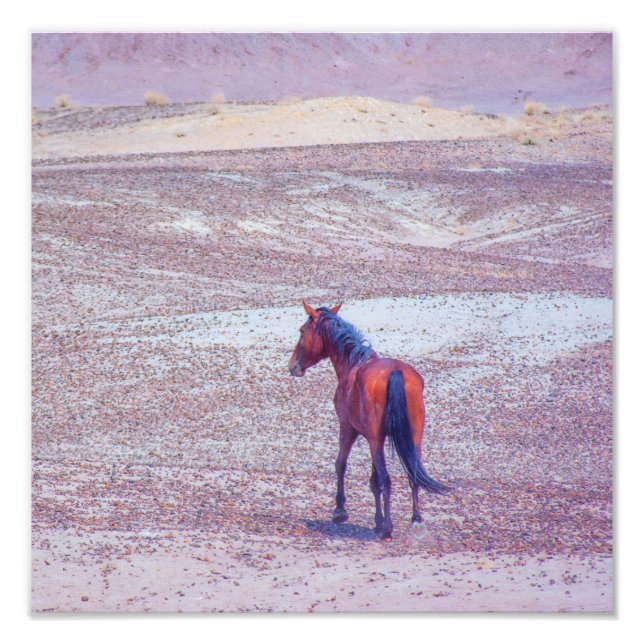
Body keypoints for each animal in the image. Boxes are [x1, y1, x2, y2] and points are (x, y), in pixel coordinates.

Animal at [288, 301, 449, 539]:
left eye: (301, 331)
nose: (292, 366)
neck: (353, 363)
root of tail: (395, 372)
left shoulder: (348, 428)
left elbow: (342, 465)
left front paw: (341, 511)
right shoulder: (375, 439)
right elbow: (374, 481)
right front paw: (377, 521)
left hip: (373, 438)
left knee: (386, 477)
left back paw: (388, 528)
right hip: (412, 438)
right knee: (412, 475)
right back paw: (416, 520)